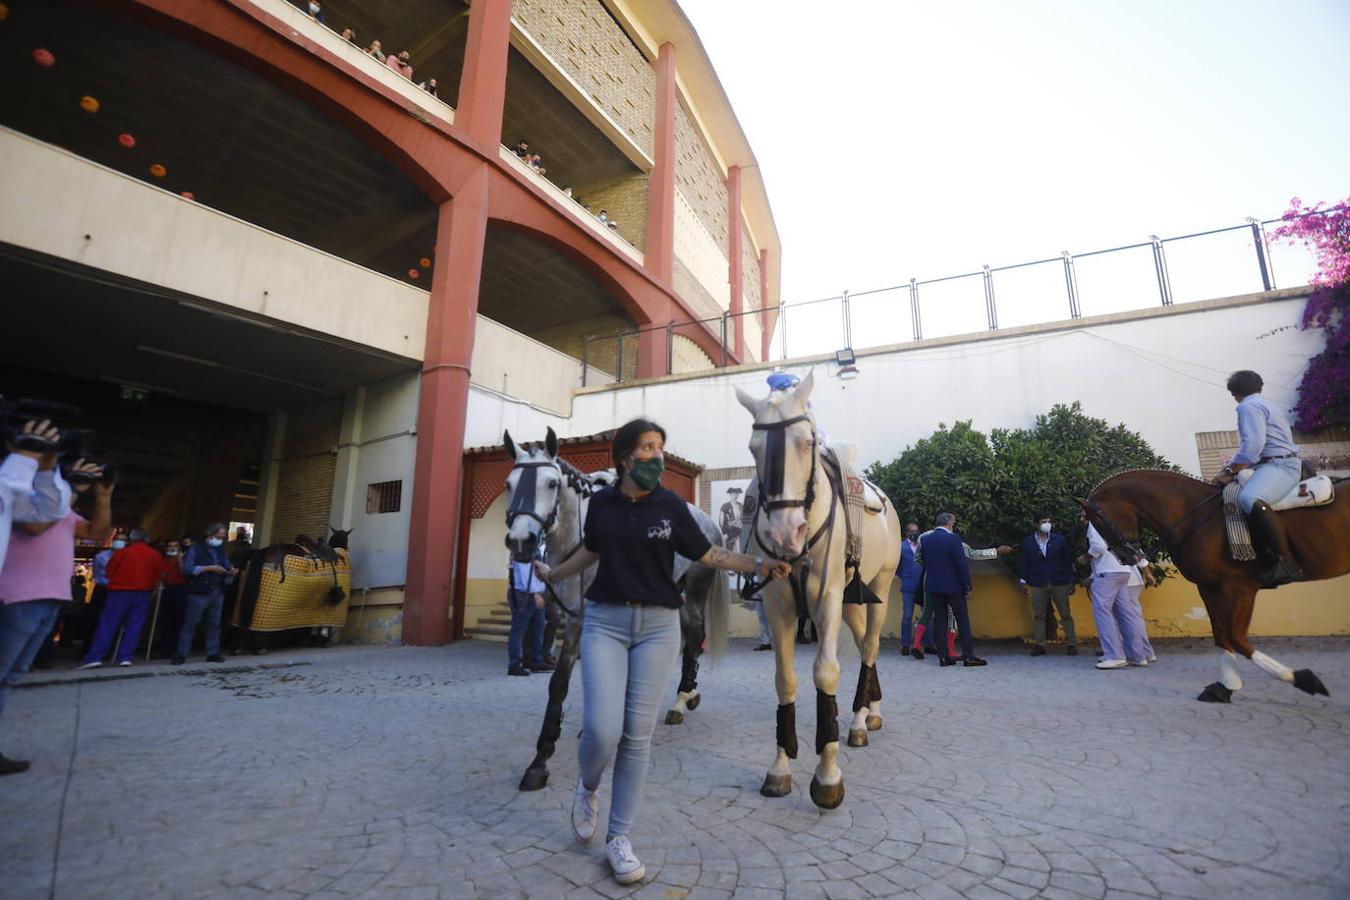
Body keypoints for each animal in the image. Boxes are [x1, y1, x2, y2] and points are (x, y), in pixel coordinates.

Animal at [504, 426, 734, 793]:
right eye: (508, 484)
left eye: (551, 484)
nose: (521, 542)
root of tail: (708, 524)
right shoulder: (577, 618)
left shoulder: (580, 621)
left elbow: (559, 684)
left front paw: (540, 761)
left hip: (696, 590)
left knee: (695, 635)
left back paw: (682, 700)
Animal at [739, 372, 896, 809]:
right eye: (754, 448)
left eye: (806, 443)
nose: (783, 533)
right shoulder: (778, 606)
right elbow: (785, 680)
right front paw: (780, 768)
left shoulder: (826, 600)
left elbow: (826, 673)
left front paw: (827, 777)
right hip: (852, 604)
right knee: (863, 646)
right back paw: (870, 710)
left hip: (879, 588)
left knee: (871, 646)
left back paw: (859, 722)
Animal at [1085, 472, 1350, 701]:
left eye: (1096, 520)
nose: (1124, 558)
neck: (1195, 517)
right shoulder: (1210, 588)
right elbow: (1222, 635)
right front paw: (1225, 687)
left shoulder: (1240, 587)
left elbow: (1236, 638)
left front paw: (1302, 678)